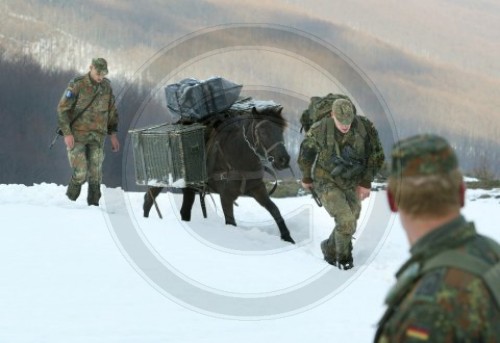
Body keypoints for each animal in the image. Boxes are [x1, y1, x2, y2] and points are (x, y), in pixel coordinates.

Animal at [143, 103, 294, 245]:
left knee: (184, 210)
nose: (284, 160)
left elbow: (275, 210)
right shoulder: (226, 196)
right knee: (148, 201)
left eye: (281, 130)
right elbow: (231, 222)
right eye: (262, 131)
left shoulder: (257, 189)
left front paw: (288, 238)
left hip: (189, 188)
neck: (239, 157)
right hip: (158, 180)